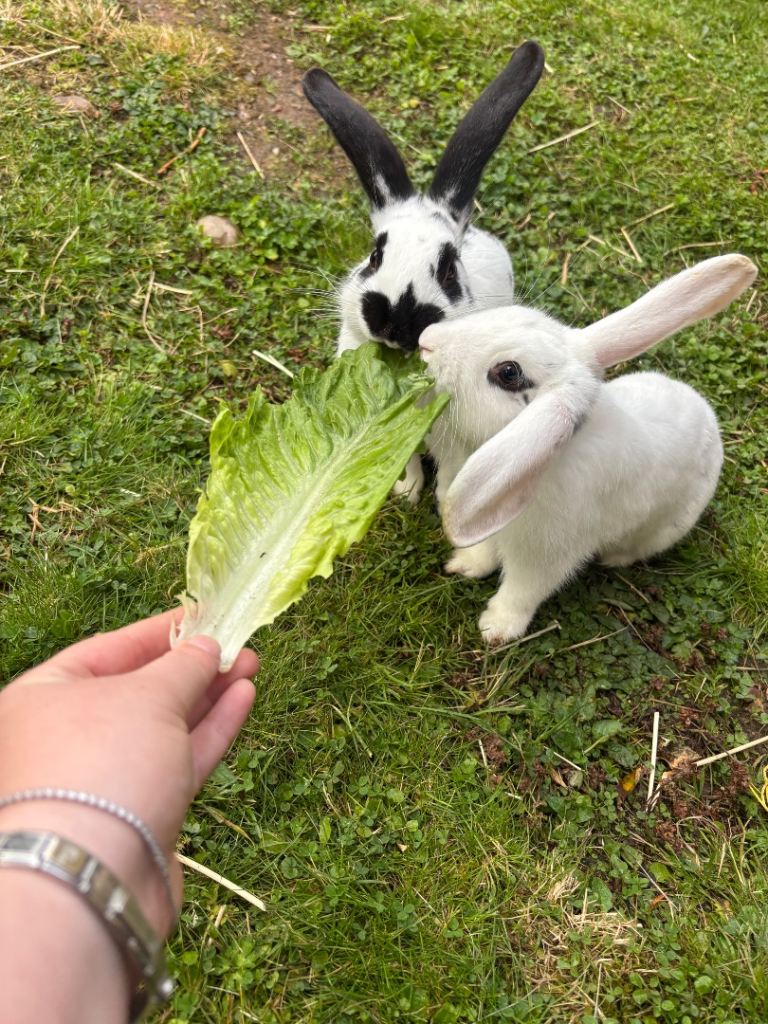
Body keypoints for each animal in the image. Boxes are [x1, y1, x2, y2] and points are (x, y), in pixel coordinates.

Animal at [302, 40, 545, 501]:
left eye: (448, 270)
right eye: (375, 256)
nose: (396, 322)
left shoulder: (453, 434)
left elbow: (450, 468)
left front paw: (443, 497)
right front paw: (405, 487)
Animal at [419, 253, 757, 644]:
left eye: (508, 373)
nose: (425, 340)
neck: (549, 458)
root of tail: (710, 422)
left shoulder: (545, 557)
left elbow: (521, 591)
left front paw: (496, 629)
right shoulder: (494, 513)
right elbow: (485, 551)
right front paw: (464, 564)